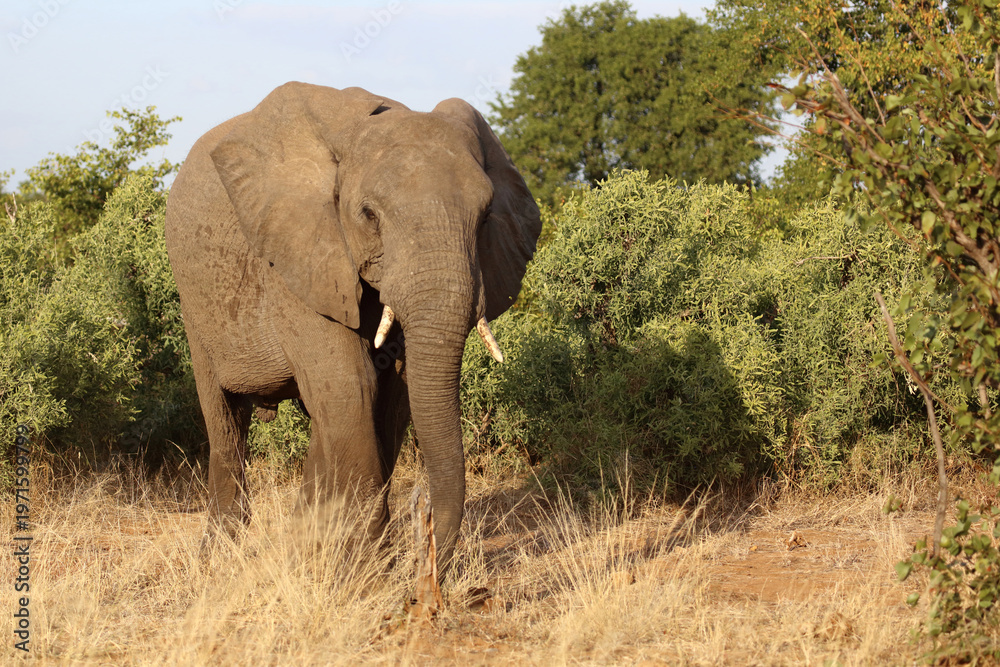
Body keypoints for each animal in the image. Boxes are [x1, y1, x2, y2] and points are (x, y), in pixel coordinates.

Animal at [164, 82, 540, 573]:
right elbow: (352, 385)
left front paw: (352, 562)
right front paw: (360, 571)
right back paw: (218, 560)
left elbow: (393, 394)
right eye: (369, 215)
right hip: (196, 306)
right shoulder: (295, 256)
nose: (420, 559)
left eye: (485, 216)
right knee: (226, 419)